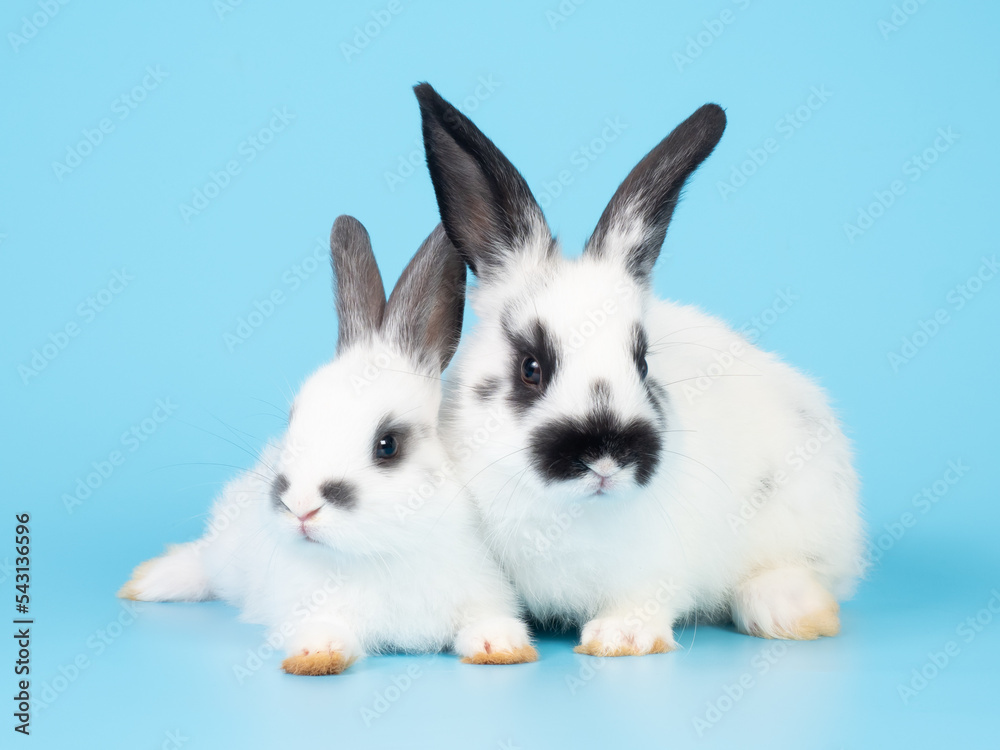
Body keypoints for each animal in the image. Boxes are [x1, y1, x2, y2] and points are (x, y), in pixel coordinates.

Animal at [119, 216, 537, 674]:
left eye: (387, 445)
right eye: (292, 420)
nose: (301, 507)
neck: (380, 551)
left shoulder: (483, 590)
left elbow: (486, 620)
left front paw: (500, 647)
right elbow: (325, 628)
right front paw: (315, 656)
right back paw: (146, 581)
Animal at [414, 83, 866, 657]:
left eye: (643, 362)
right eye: (530, 368)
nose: (606, 455)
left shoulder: (660, 568)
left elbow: (646, 599)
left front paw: (619, 638)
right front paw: (492, 640)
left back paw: (790, 610)